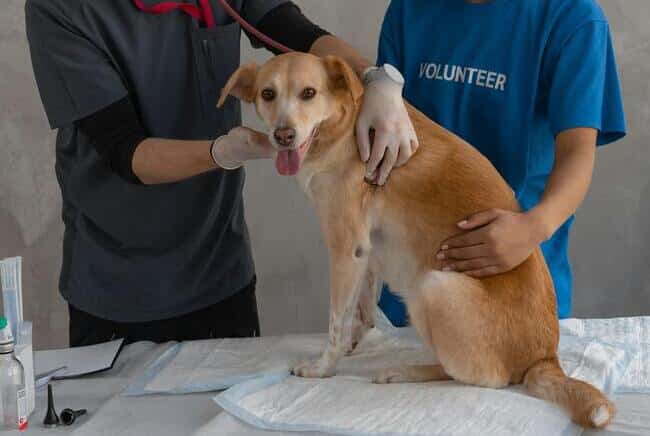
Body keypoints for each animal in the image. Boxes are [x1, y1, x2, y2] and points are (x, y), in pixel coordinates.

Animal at [218, 52, 612, 428]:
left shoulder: (346, 249)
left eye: (309, 93)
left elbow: (335, 323)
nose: (283, 135)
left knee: (478, 377)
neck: (342, 127)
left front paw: (322, 368)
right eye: (268, 94)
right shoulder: (368, 251)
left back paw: (405, 372)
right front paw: (355, 343)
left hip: (433, 286)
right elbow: (362, 310)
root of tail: (545, 358)